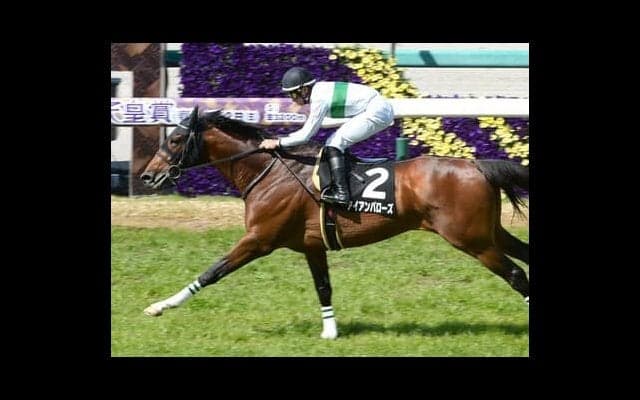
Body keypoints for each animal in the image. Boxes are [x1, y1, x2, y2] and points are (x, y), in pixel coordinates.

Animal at [139, 107, 529, 340]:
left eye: (176, 138)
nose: (147, 176)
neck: (271, 172)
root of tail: (476, 165)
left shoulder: (259, 239)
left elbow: (212, 271)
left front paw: (160, 306)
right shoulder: (311, 245)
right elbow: (323, 287)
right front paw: (330, 332)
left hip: (472, 240)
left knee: (516, 274)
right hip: (490, 233)